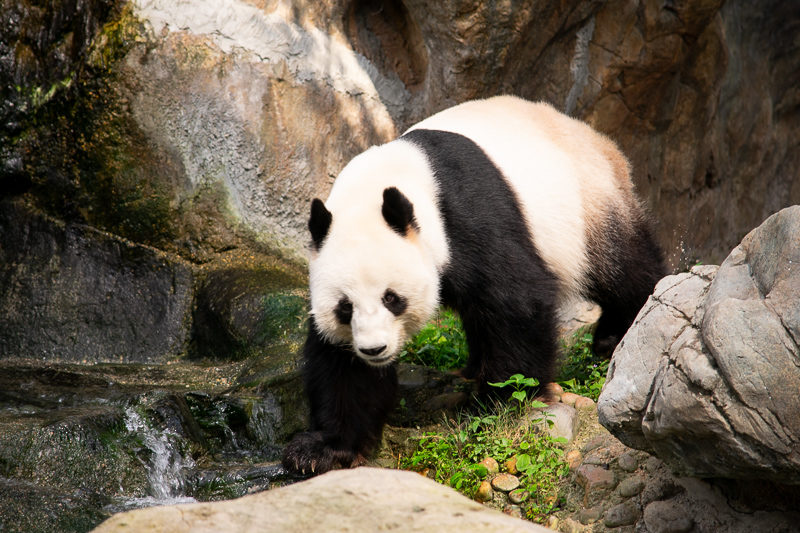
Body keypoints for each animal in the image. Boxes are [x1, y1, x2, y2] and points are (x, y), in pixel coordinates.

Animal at [282, 95, 664, 474]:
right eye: (345, 307)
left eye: (392, 298)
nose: (374, 350)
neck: (376, 191)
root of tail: (596, 138)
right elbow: (340, 364)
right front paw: (324, 449)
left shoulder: (466, 217)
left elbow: (515, 300)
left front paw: (498, 400)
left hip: (588, 203)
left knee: (622, 267)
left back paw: (615, 335)